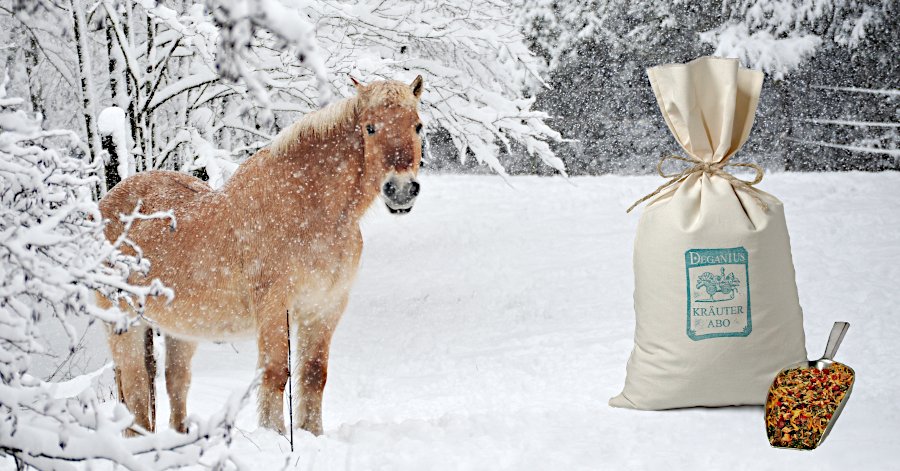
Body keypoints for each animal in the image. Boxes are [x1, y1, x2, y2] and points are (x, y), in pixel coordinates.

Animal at [97, 76, 425, 436]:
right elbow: (276, 373)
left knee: (175, 384)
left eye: (418, 126)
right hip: (122, 324)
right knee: (136, 390)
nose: (401, 190)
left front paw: (312, 434)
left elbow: (313, 375)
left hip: (180, 330)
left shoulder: (324, 307)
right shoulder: (274, 306)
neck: (309, 209)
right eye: (370, 127)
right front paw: (276, 435)